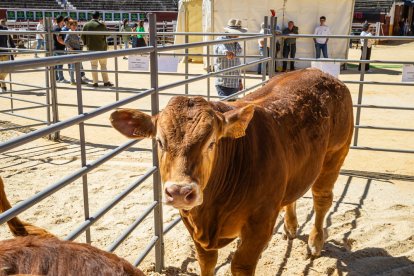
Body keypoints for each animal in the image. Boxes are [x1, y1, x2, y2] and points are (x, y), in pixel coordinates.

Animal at [111, 68, 356, 274]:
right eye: (160, 142)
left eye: (211, 143)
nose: (180, 192)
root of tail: (320, 72)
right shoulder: (192, 225)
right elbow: (206, 262)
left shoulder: (260, 223)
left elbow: (241, 265)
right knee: (293, 196)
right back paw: (291, 226)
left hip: (335, 155)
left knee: (322, 199)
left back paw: (315, 241)